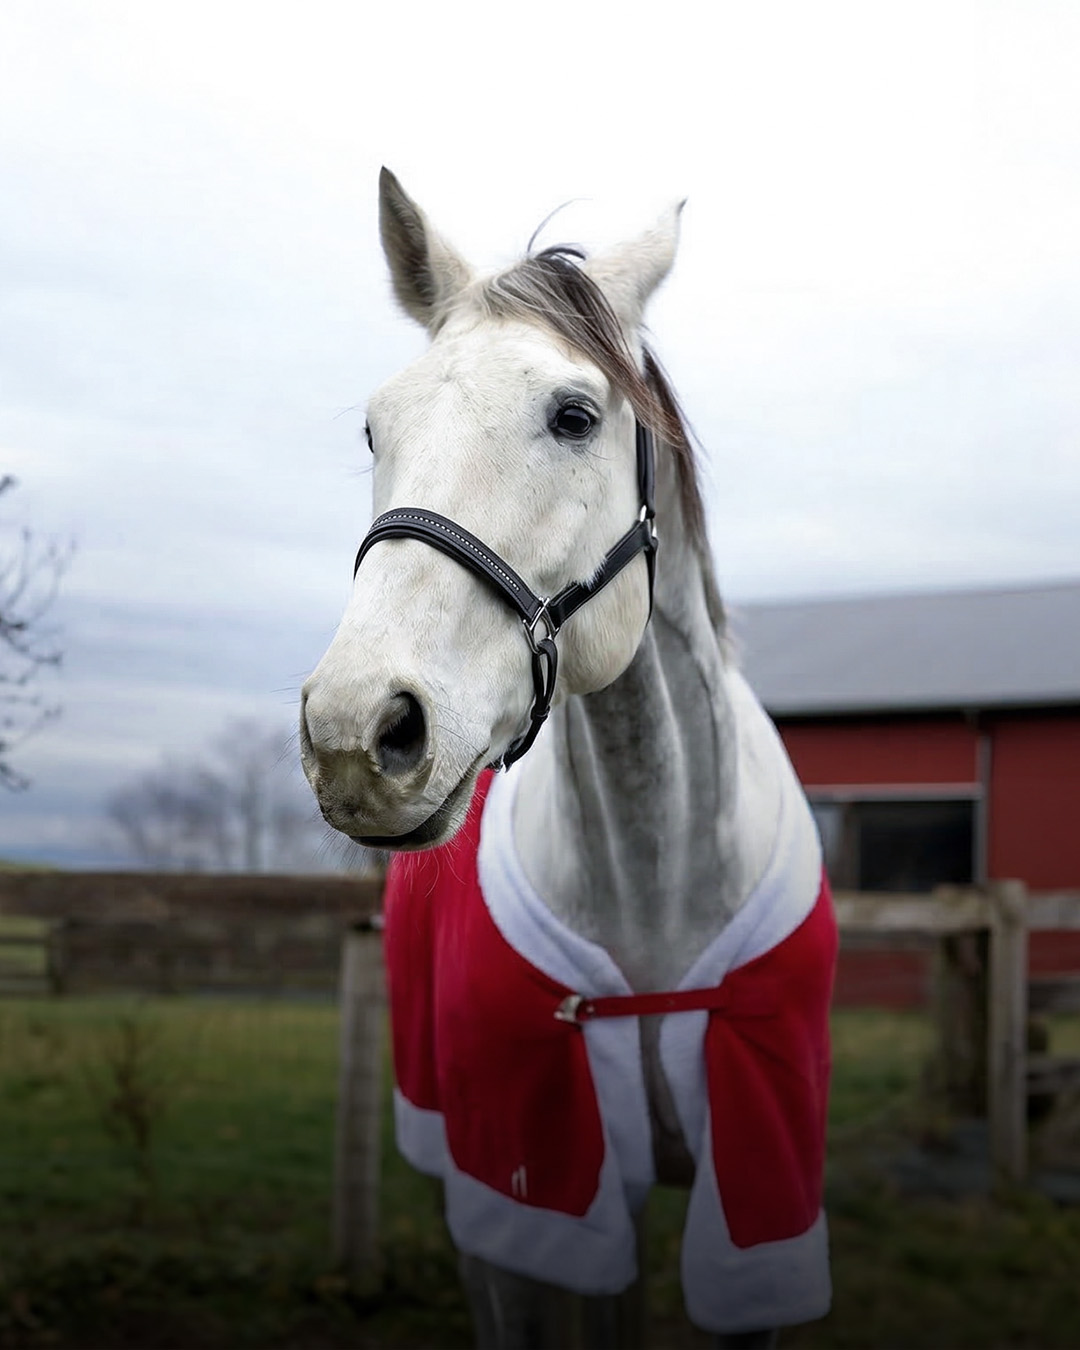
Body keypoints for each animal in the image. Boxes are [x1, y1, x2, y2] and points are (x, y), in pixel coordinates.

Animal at [300, 169, 837, 1350]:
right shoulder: (534, 1196)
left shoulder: (760, 1195)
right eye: (374, 426)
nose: (356, 732)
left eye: (575, 415)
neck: (656, 872)